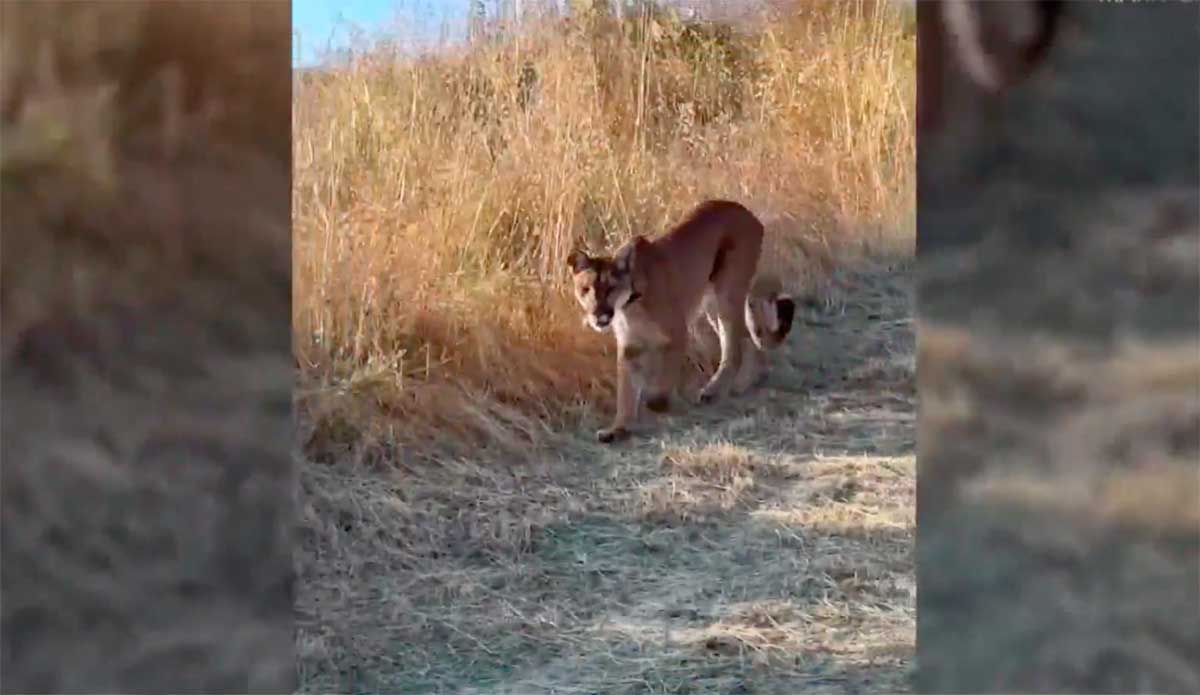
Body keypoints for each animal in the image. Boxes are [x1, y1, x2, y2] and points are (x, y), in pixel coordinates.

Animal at [566, 199, 795, 443]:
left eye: (610, 288)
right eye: (585, 289)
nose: (598, 313)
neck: (629, 304)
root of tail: (745, 210)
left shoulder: (677, 334)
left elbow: (664, 378)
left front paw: (656, 403)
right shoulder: (630, 346)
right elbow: (626, 391)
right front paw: (617, 429)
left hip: (726, 292)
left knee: (734, 346)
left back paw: (714, 390)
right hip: (712, 303)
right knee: (744, 338)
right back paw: (745, 382)